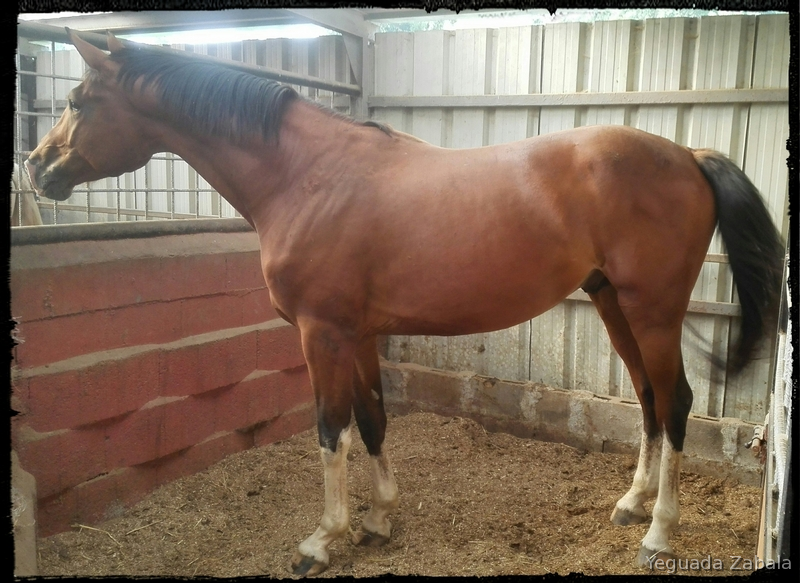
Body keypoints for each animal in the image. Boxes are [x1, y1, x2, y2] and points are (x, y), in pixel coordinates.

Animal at [26, 30, 784, 575]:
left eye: (78, 100)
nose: (37, 168)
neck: (305, 176)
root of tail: (689, 155)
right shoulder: (358, 334)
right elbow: (372, 418)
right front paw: (380, 518)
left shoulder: (321, 333)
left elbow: (329, 429)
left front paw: (323, 540)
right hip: (613, 305)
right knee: (650, 400)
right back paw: (630, 505)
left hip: (651, 310)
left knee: (677, 401)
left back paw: (658, 532)